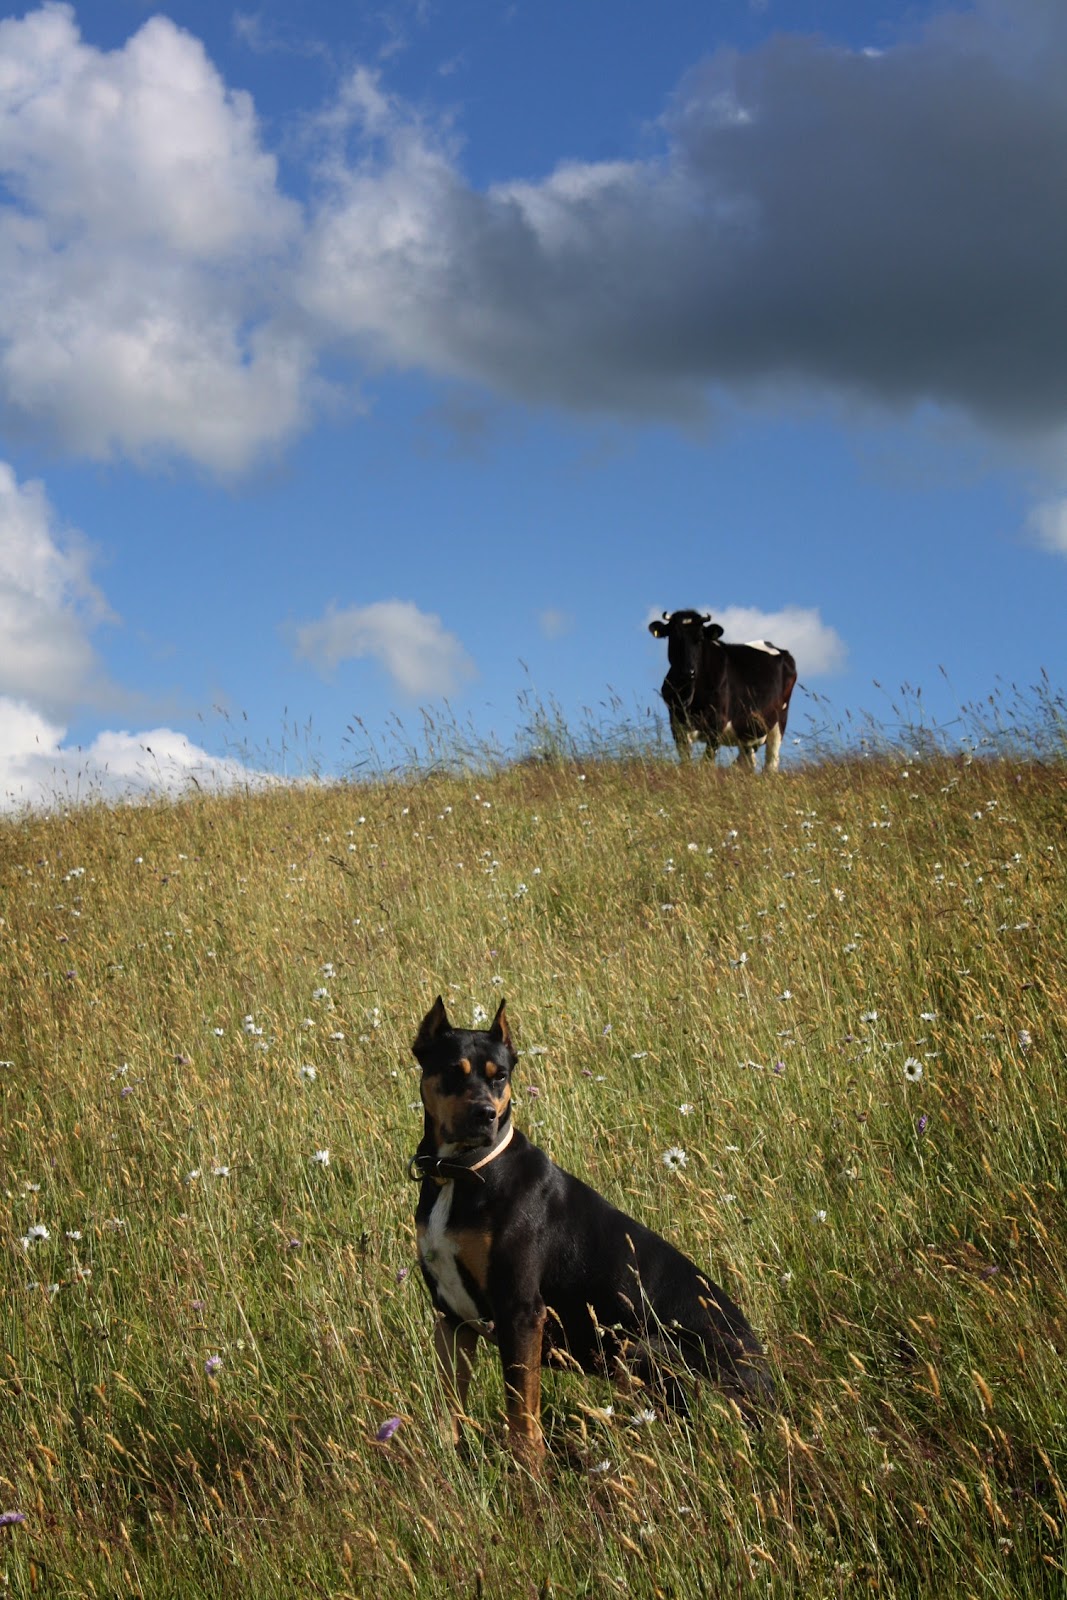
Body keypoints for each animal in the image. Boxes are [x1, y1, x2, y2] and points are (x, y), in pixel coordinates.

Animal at [412, 998, 777, 1465]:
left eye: (501, 1076)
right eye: (453, 1072)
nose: (485, 1115)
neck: (462, 1172)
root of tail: (768, 1388)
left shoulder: (521, 1309)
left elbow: (521, 1409)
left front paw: (528, 1470)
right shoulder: (449, 1314)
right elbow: (449, 1401)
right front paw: (444, 1457)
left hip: (639, 1349)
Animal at [646, 608, 796, 771]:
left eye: (700, 639)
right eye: (674, 637)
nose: (688, 672)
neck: (690, 694)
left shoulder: (717, 725)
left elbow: (706, 762)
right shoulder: (677, 725)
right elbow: (686, 762)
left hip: (778, 724)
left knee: (771, 764)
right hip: (747, 733)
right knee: (748, 761)